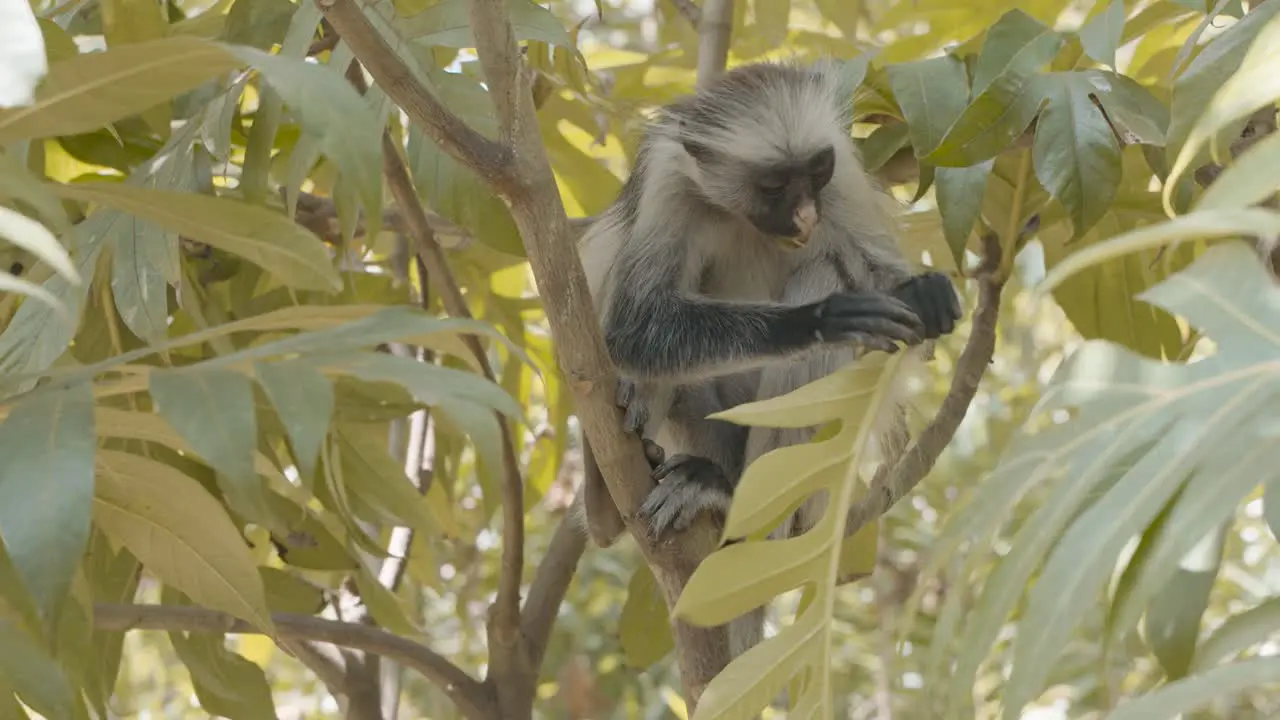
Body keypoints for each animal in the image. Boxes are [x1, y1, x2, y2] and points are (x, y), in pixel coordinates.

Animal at [570, 60, 962, 655]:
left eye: (817, 171)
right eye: (775, 185)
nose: (805, 214)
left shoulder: (841, 172)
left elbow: (889, 287)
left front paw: (921, 292)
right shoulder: (668, 179)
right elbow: (635, 326)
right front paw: (821, 319)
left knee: (822, 271)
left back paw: (730, 506)